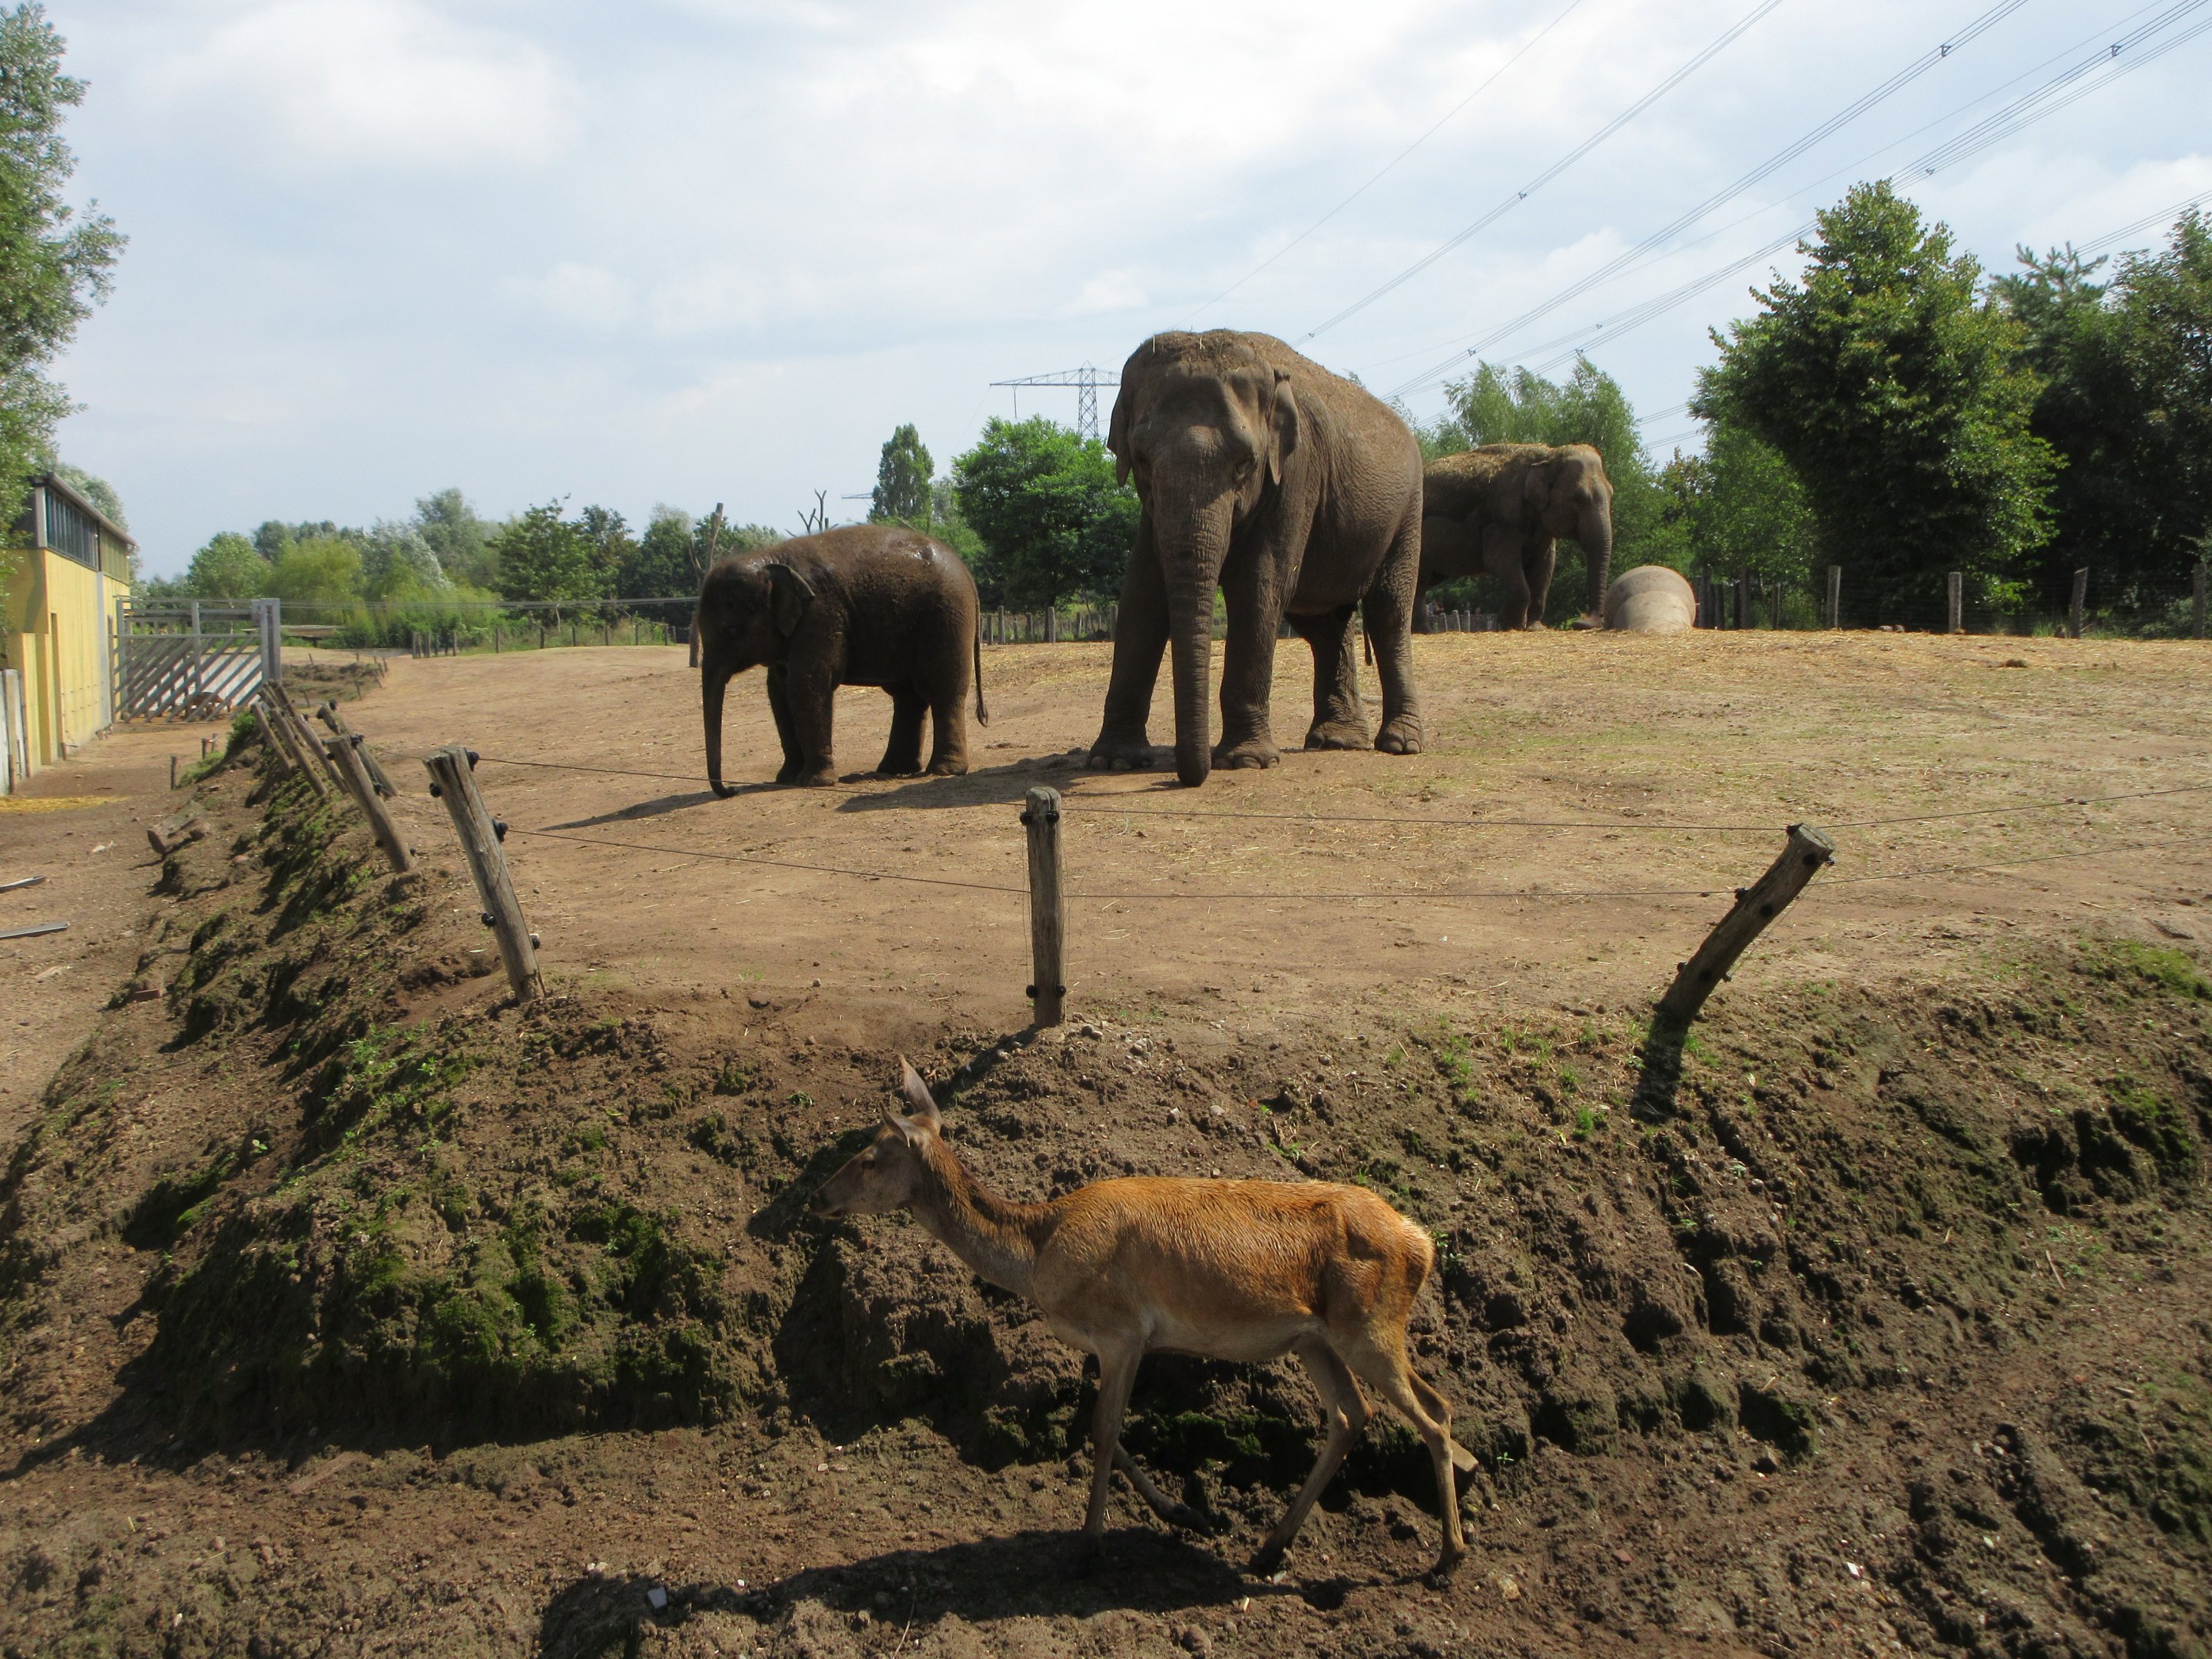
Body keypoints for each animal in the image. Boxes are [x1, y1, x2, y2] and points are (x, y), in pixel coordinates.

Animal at [698, 524, 986, 794]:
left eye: (732, 632)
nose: (732, 790)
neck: (770, 559)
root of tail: (967, 574)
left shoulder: (820, 615)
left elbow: (807, 686)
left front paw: (814, 783)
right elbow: (779, 692)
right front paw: (786, 779)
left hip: (947, 617)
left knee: (941, 690)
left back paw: (944, 771)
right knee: (908, 696)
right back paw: (893, 770)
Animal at [808, 1060, 1477, 1582]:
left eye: (869, 1157)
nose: (817, 1197)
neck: (1039, 1253)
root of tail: (1423, 1243)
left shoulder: (1122, 1331)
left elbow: (1104, 1431)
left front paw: (1088, 1547)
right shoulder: (1122, 1342)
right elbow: (1100, 1429)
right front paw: (1186, 1513)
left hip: (1369, 1328)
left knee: (1435, 1413)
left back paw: (1448, 1556)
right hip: (1315, 1338)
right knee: (1353, 1416)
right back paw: (1269, 1548)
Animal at [1087, 329, 1426, 787]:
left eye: (1245, 463)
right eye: (1142, 460)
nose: (1182, 776)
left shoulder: (1296, 472)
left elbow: (1260, 584)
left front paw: (1245, 761)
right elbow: (1142, 592)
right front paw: (1114, 761)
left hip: (1408, 510)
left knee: (1388, 611)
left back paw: (1400, 744)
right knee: (1324, 622)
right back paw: (1337, 740)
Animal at [1419, 443, 1615, 630]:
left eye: (1612, 493)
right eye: (1578, 498)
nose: (1580, 623)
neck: (1547, 456)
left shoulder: (1541, 526)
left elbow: (1544, 565)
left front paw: (1534, 628)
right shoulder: (1502, 515)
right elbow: (1499, 560)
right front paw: (1511, 625)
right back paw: (1425, 631)